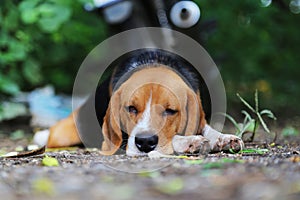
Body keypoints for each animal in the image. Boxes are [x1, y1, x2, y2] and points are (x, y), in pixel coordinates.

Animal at [34, 49, 244, 155]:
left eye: (170, 111)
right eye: (131, 108)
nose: (144, 142)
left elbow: (207, 127)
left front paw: (223, 138)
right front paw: (189, 141)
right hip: (64, 134)